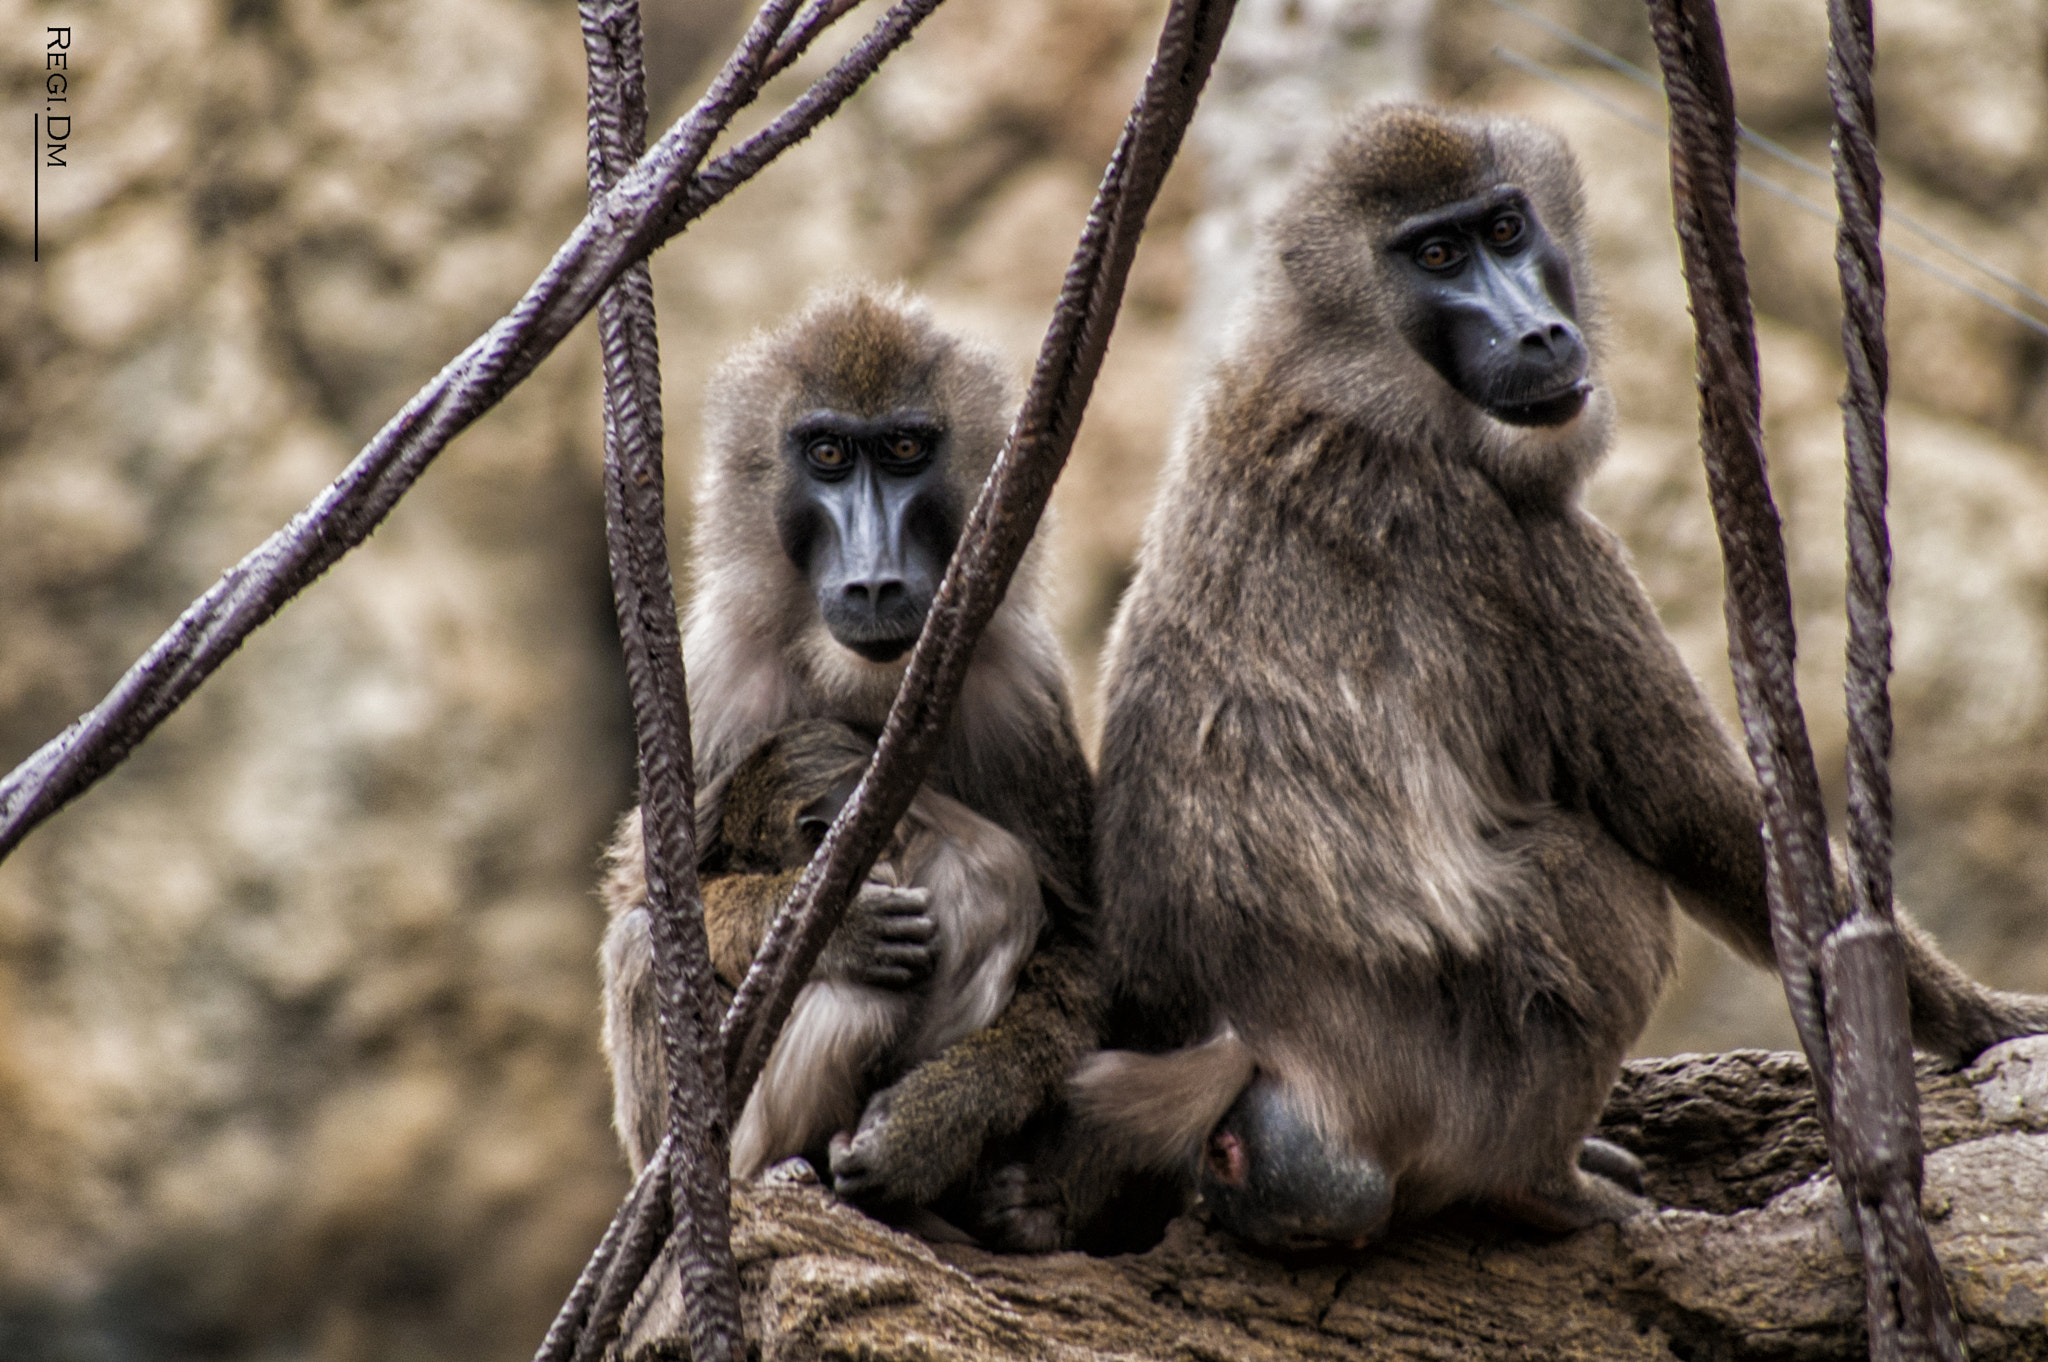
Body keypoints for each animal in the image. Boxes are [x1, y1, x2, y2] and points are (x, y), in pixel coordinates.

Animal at [597, 286, 1099, 1245]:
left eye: (904, 452)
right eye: (828, 455)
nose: (873, 581)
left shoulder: (1017, 691)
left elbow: (1086, 941)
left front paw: (929, 1126)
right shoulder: (720, 683)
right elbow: (652, 899)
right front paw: (827, 922)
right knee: (640, 946)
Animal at [1074, 102, 2048, 1252]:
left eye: (1503, 229)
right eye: (1436, 257)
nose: (1535, 331)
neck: (1340, 368)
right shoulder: (1517, 545)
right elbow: (1698, 821)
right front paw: (1984, 1020)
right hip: (1451, 1083)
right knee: (1598, 874)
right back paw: (1542, 1186)